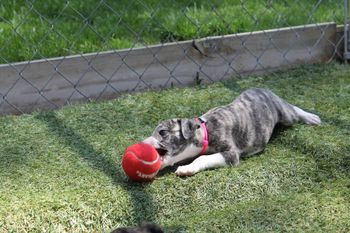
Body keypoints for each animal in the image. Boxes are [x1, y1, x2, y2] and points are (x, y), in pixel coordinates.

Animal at [142, 88, 320, 176]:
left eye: (162, 132)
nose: (141, 144)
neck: (205, 131)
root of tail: (263, 88)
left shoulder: (231, 154)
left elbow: (202, 158)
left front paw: (187, 169)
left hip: (285, 114)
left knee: (293, 109)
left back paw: (311, 117)